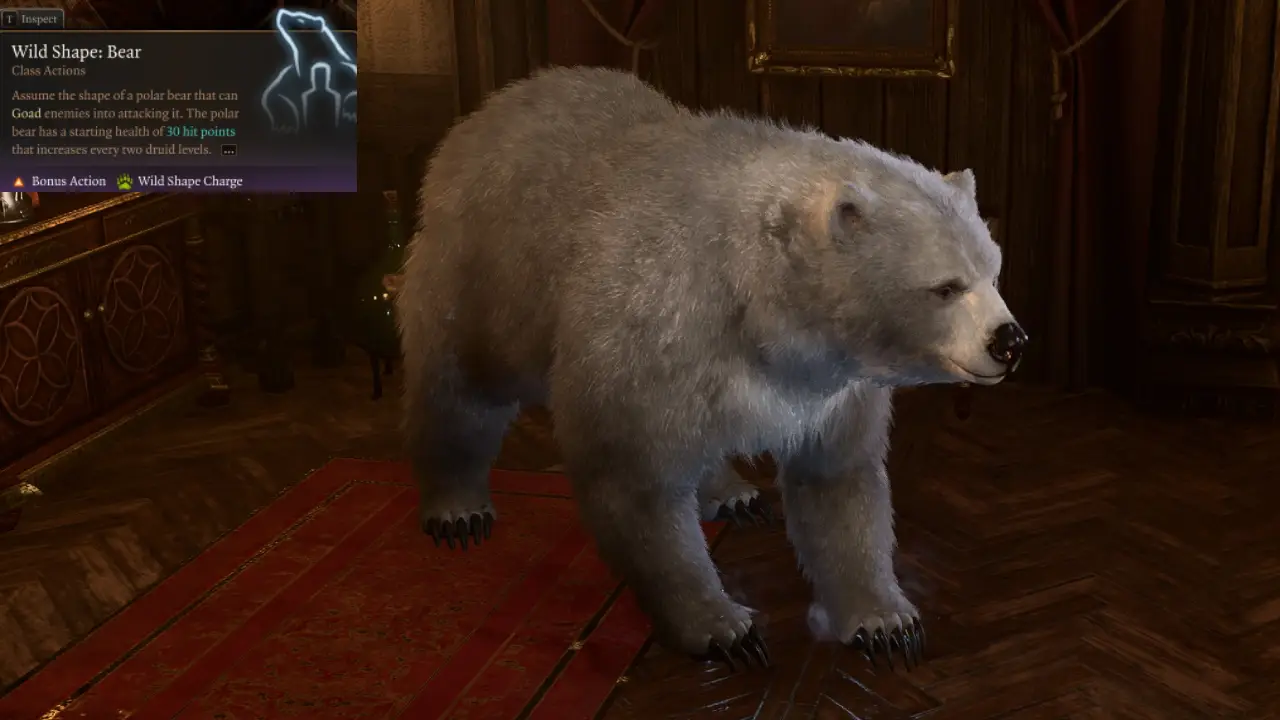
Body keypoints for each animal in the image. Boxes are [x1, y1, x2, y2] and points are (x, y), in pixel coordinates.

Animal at [396, 66, 1027, 670]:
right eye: (946, 287)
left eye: (993, 270)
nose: (1010, 340)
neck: (752, 297)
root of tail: (482, 115)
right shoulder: (650, 330)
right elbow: (634, 480)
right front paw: (725, 629)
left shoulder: (836, 385)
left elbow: (838, 478)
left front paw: (886, 622)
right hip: (486, 273)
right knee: (460, 383)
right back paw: (457, 507)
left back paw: (732, 494)